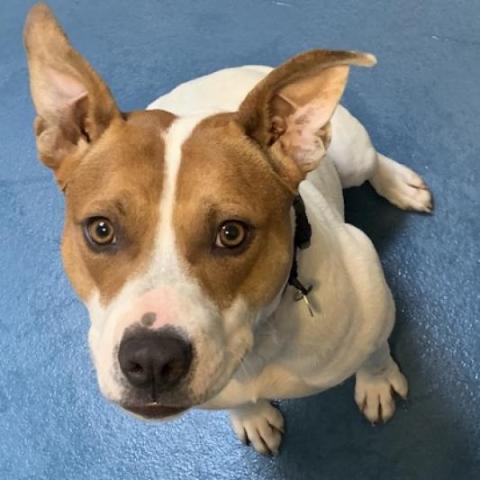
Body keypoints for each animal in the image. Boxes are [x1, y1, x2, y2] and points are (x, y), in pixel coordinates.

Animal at [24, 2, 434, 454]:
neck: (258, 344)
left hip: (352, 154)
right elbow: (238, 404)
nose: (151, 359)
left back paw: (400, 184)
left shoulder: (372, 299)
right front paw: (252, 417)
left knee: (372, 161)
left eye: (231, 233)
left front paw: (378, 382)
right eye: (101, 230)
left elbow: (375, 353)